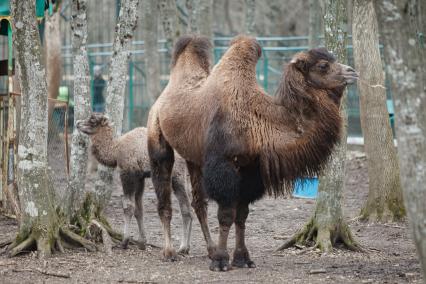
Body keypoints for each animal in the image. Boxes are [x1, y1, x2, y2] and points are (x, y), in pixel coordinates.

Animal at [146, 35, 356, 270]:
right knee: (164, 199)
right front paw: (221, 260)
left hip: (194, 157)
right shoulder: (223, 163)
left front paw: (241, 258)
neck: (255, 119)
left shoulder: (250, 168)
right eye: (323, 65)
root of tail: (163, 96)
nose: (352, 71)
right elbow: (226, 215)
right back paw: (169, 252)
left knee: (199, 203)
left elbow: (242, 215)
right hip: (157, 136)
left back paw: (209, 249)